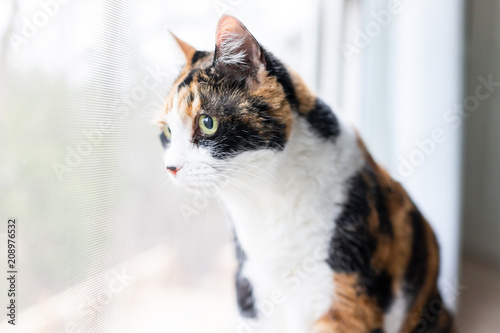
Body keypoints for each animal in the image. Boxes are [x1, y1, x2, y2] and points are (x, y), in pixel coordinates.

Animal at [158, 14, 456, 332]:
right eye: (167, 132)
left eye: (208, 122)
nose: (171, 167)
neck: (268, 203)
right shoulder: (251, 289)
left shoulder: (348, 301)